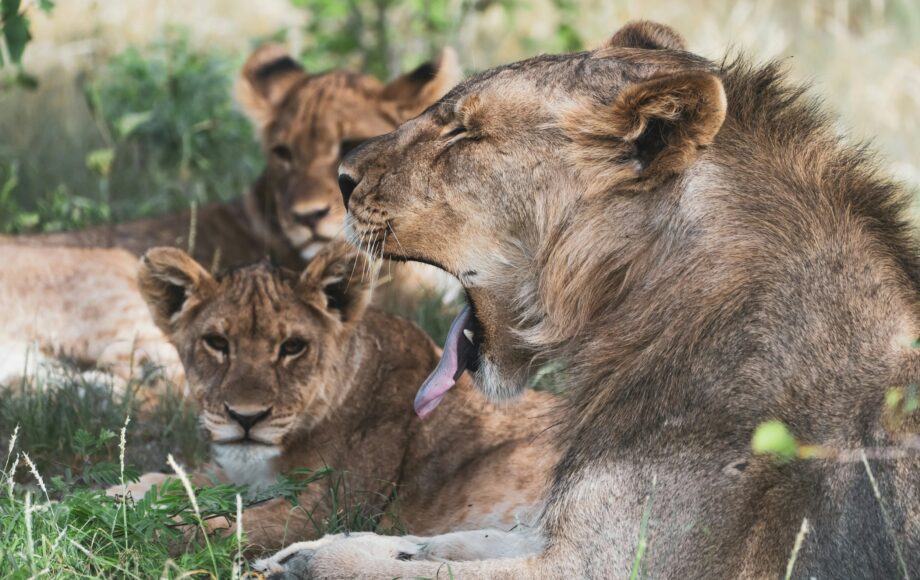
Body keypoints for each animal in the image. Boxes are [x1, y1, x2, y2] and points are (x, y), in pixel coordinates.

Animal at [122, 242, 558, 553]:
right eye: (216, 343)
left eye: (293, 347)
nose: (246, 418)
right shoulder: (243, 476)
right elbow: (176, 481)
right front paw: (124, 495)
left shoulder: (330, 510)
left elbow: (215, 527)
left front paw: (131, 529)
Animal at [257, 21, 920, 578]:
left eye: (462, 131)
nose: (342, 178)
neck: (636, 312)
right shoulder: (564, 532)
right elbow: (455, 541)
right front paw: (314, 547)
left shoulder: (615, 563)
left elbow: (422, 571)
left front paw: (311, 563)